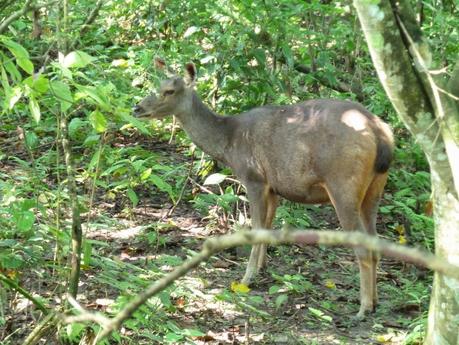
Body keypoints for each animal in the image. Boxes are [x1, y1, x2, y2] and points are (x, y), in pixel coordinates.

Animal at [133, 60, 396, 318]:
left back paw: (363, 308)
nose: (137, 108)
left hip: (343, 184)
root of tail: (381, 135)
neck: (228, 143)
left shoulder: (253, 177)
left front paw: (246, 278)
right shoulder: (273, 188)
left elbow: (256, 228)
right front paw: (261, 269)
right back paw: (375, 302)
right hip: (375, 188)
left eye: (169, 91)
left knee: (363, 248)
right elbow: (267, 228)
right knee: (375, 245)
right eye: (158, 83)